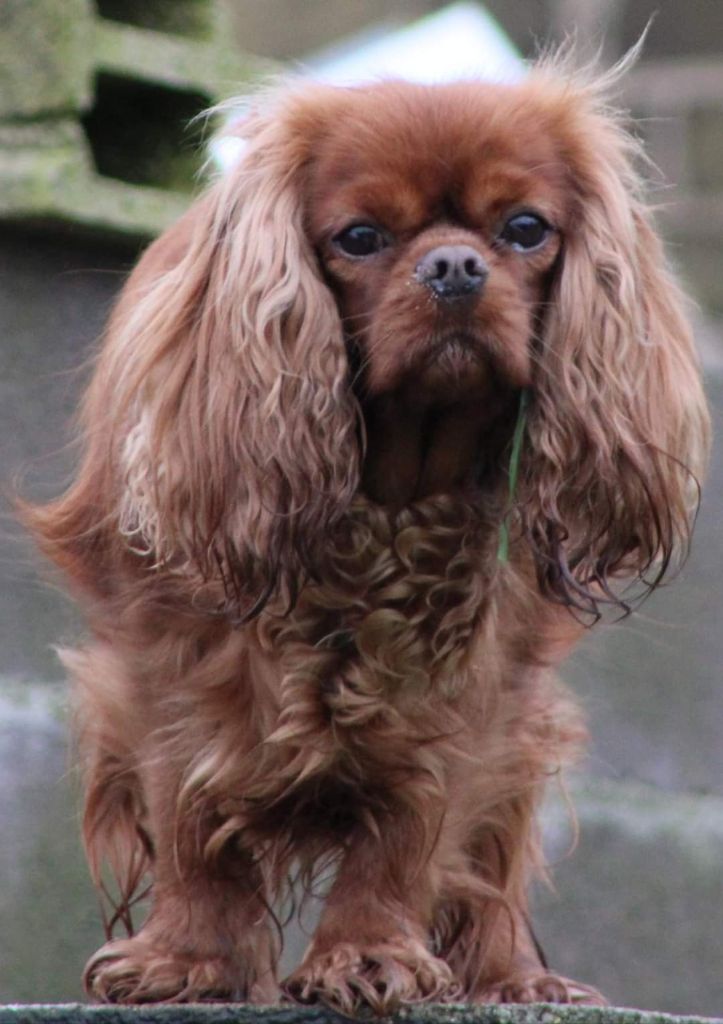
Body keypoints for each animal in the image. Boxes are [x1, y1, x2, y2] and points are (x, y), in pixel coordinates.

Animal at [26, 59, 704, 1011]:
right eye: (358, 237)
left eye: (525, 229)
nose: (454, 265)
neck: (387, 497)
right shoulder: (167, 658)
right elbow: (188, 812)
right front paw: (186, 960)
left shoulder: (465, 693)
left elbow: (411, 832)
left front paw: (367, 954)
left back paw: (512, 977)